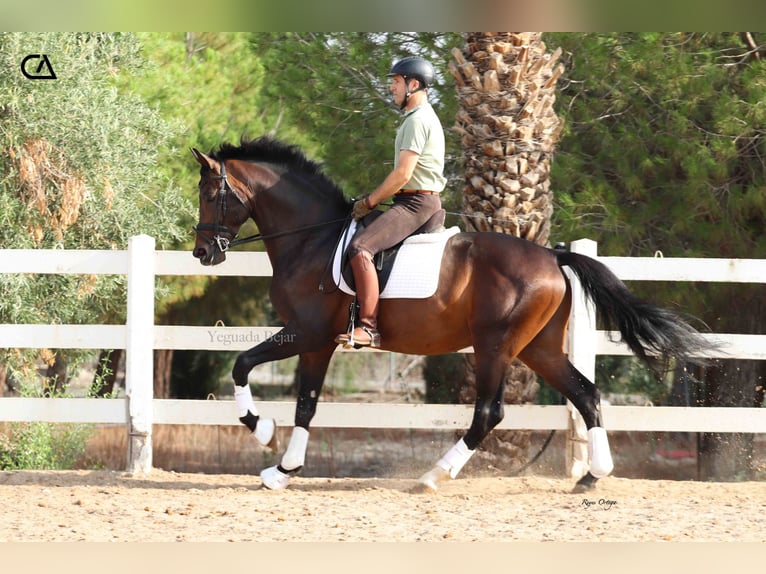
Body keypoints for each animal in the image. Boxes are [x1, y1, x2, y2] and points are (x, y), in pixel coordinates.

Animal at [190, 137, 712, 492]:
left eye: (209, 193)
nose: (202, 253)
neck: (312, 239)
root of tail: (553, 256)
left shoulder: (306, 332)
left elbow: (242, 366)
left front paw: (263, 433)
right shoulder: (318, 343)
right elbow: (306, 403)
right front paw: (283, 470)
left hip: (495, 345)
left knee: (490, 412)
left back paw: (433, 475)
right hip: (538, 348)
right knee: (587, 394)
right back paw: (592, 477)